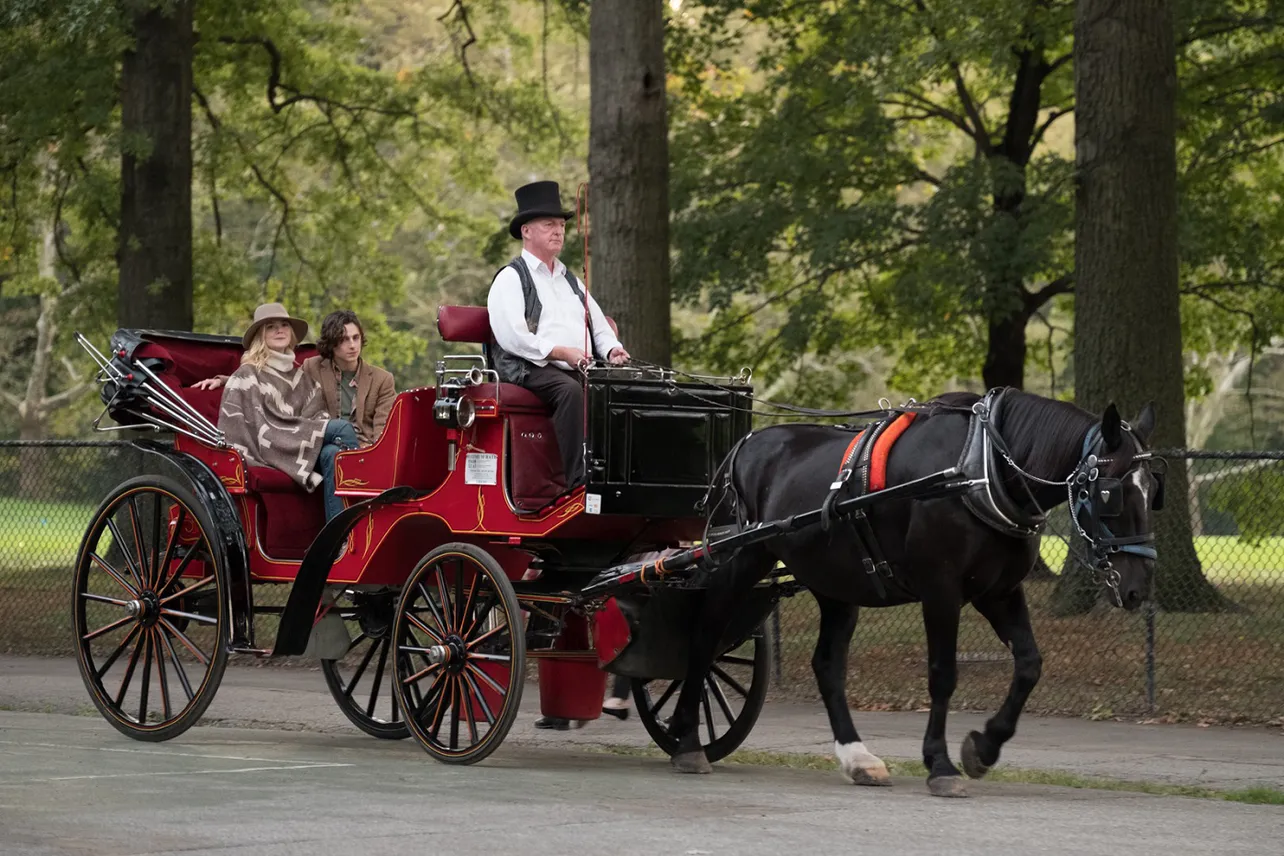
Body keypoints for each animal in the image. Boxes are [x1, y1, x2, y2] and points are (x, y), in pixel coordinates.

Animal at [672, 392, 1165, 800]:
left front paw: (984, 747)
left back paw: (857, 757)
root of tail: (742, 447)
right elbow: (943, 674)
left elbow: (1029, 664)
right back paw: (686, 738)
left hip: (836, 581)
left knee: (827, 666)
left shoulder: (1000, 592)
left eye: (1153, 492)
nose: (1137, 586)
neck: (979, 470)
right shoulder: (940, 589)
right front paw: (942, 764)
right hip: (740, 559)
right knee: (706, 634)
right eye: (1112, 493)